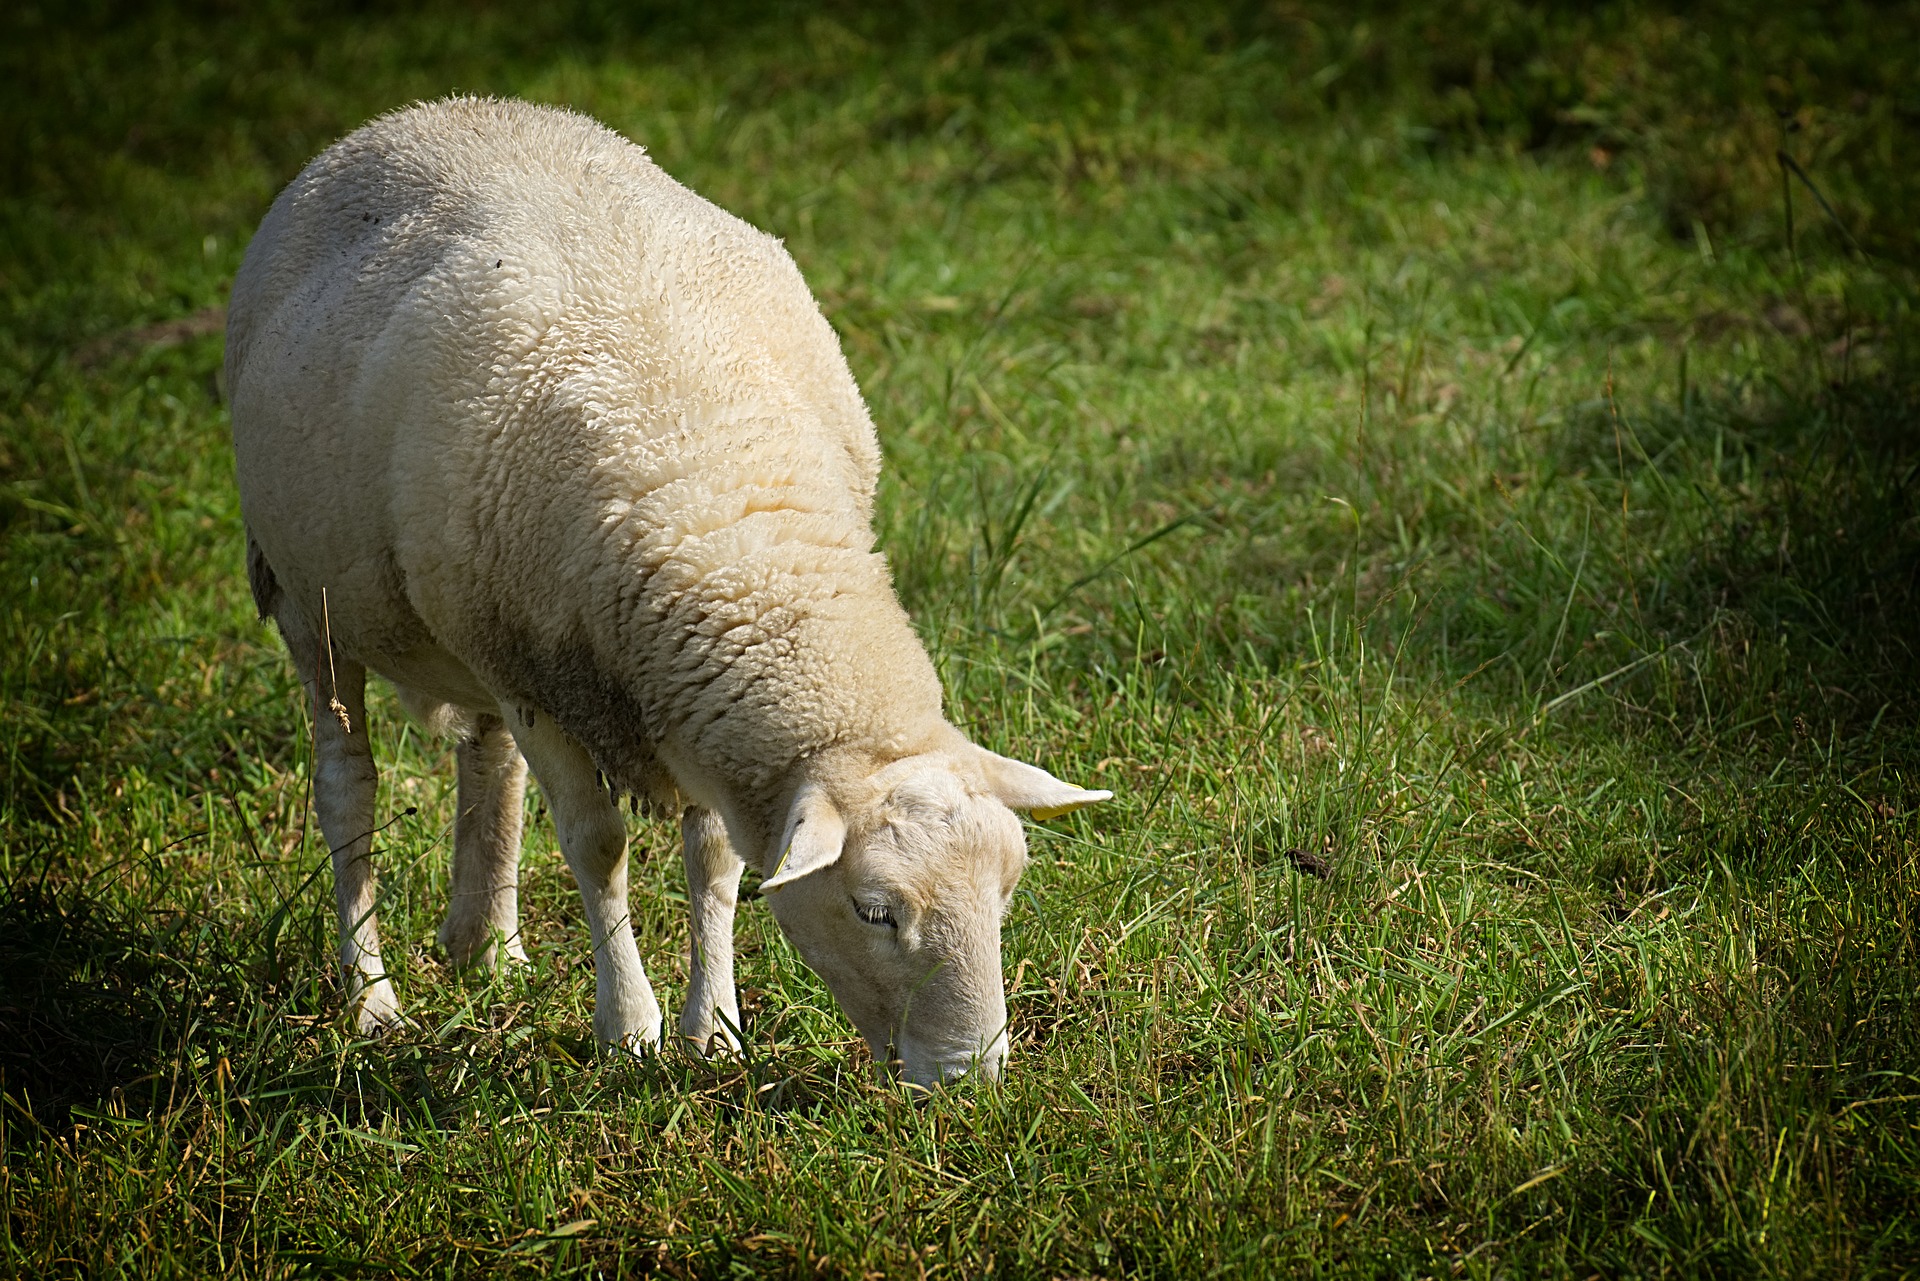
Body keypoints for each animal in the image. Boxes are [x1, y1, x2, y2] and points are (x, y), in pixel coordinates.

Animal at [224, 95, 1113, 1090]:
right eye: (876, 911)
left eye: (1008, 888)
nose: (973, 1081)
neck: (725, 504)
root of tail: (422, 113)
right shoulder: (542, 685)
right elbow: (597, 844)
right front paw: (630, 1026)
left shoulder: (679, 700)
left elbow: (715, 857)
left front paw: (713, 1026)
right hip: (306, 598)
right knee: (349, 790)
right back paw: (372, 1000)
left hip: (468, 627)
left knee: (488, 762)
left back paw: (485, 945)